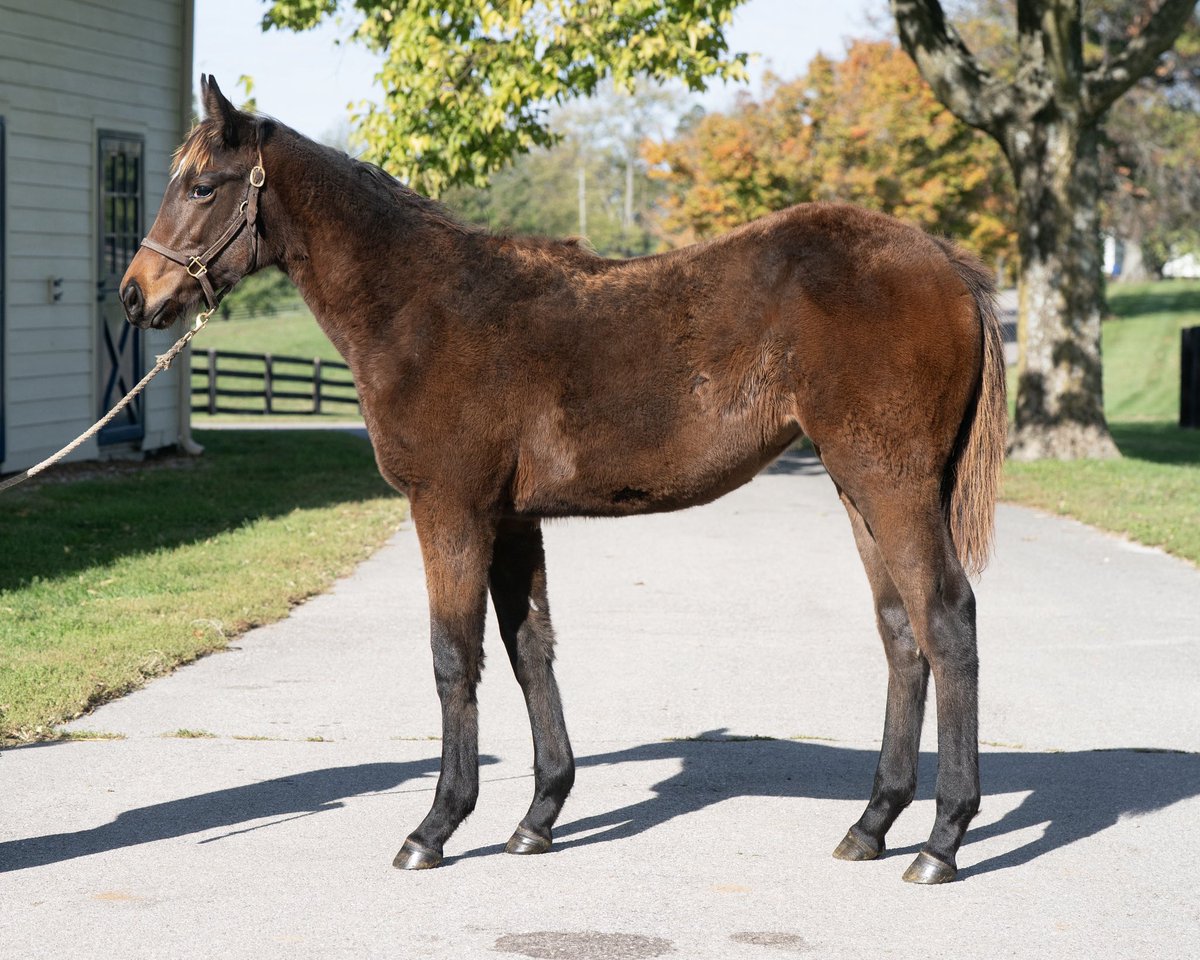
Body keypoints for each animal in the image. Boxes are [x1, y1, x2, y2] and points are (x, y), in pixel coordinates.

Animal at [121, 75, 1006, 884]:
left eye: (201, 186)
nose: (136, 296)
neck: (423, 308)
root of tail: (947, 263)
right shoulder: (512, 519)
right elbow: (529, 648)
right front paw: (538, 817)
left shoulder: (450, 510)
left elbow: (454, 657)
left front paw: (435, 827)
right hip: (859, 490)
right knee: (901, 632)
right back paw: (872, 823)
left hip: (890, 482)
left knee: (947, 620)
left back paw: (941, 841)